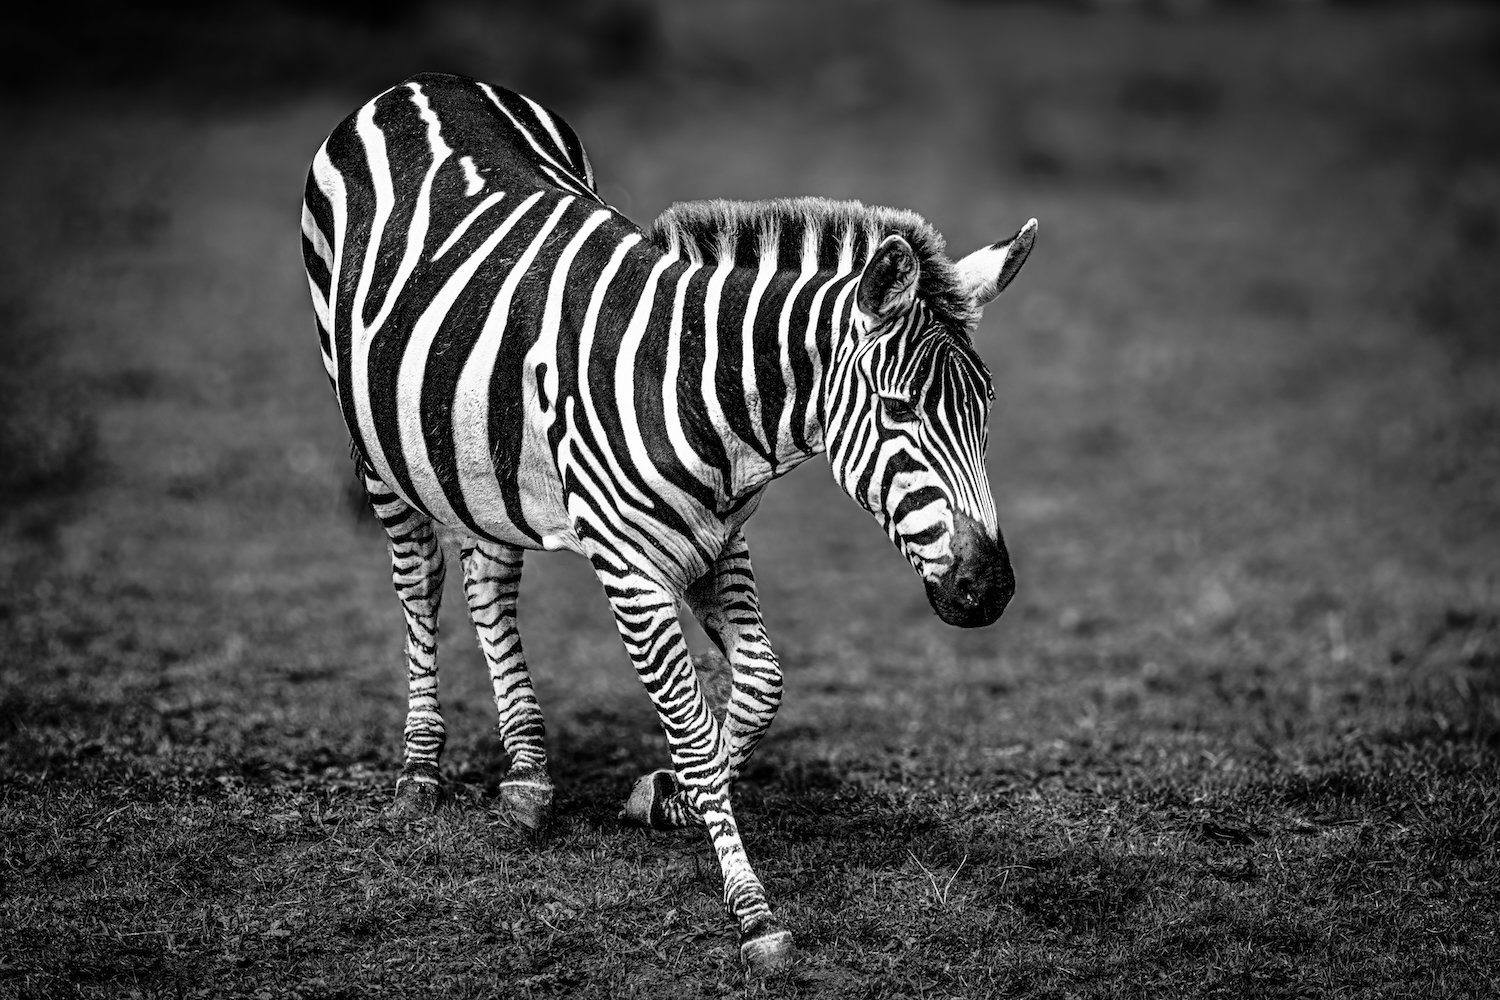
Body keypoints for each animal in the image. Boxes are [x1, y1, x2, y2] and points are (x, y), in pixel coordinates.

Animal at [300, 71, 1035, 973]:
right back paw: (420, 770)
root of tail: (423, 82)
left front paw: (668, 797)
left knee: (489, 580)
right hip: (374, 439)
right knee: (418, 581)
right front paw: (752, 909)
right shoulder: (630, 571)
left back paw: (528, 780)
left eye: (987, 411)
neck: (706, 396)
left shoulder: (722, 542)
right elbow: (690, 725)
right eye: (899, 410)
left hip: (480, 447)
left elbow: (760, 685)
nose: (989, 590)